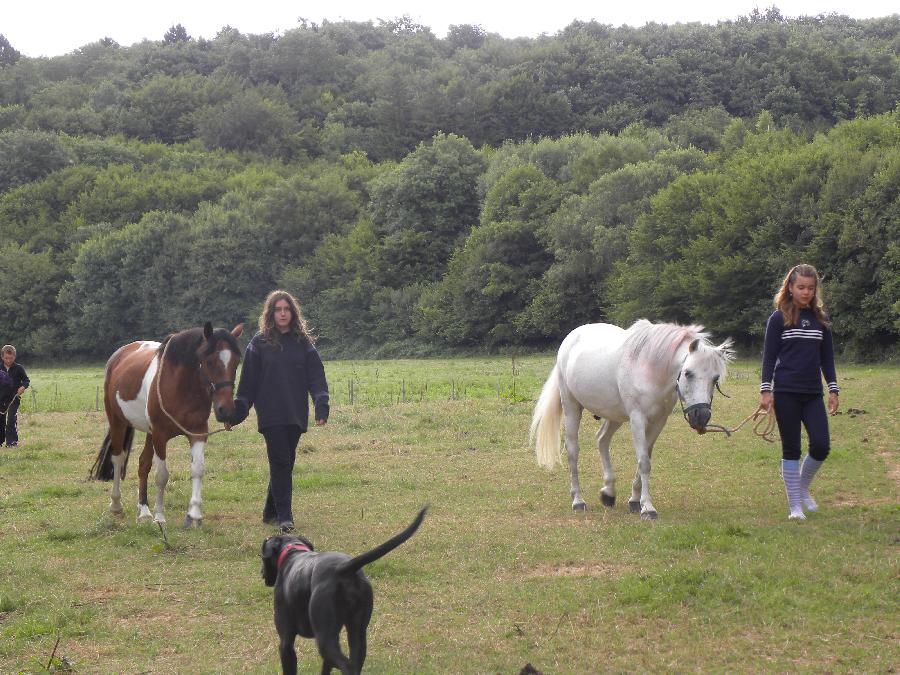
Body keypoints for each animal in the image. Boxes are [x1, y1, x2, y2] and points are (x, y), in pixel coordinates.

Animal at [90, 324, 243, 528]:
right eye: (209, 361)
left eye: (236, 362)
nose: (225, 410)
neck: (181, 387)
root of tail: (118, 355)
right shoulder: (160, 436)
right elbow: (162, 476)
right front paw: (160, 516)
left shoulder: (197, 433)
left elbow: (198, 470)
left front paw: (194, 515)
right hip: (118, 422)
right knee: (118, 459)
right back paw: (116, 505)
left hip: (149, 432)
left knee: (143, 464)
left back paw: (144, 511)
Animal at [262, 508, 428, 675]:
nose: (262, 573)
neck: (293, 551)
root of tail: (344, 568)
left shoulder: (286, 642)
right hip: (357, 633)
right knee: (354, 661)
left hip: (325, 640)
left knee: (347, 665)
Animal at [536, 320, 732, 520]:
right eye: (688, 373)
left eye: (715, 378)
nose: (701, 416)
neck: (652, 368)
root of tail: (572, 337)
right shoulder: (638, 419)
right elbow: (644, 462)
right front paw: (648, 508)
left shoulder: (658, 421)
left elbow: (645, 458)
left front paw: (635, 501)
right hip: (572, 407)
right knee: (573, 450)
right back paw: (578, 500)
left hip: (614, 415)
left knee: (602, 440)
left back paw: (608, 493)